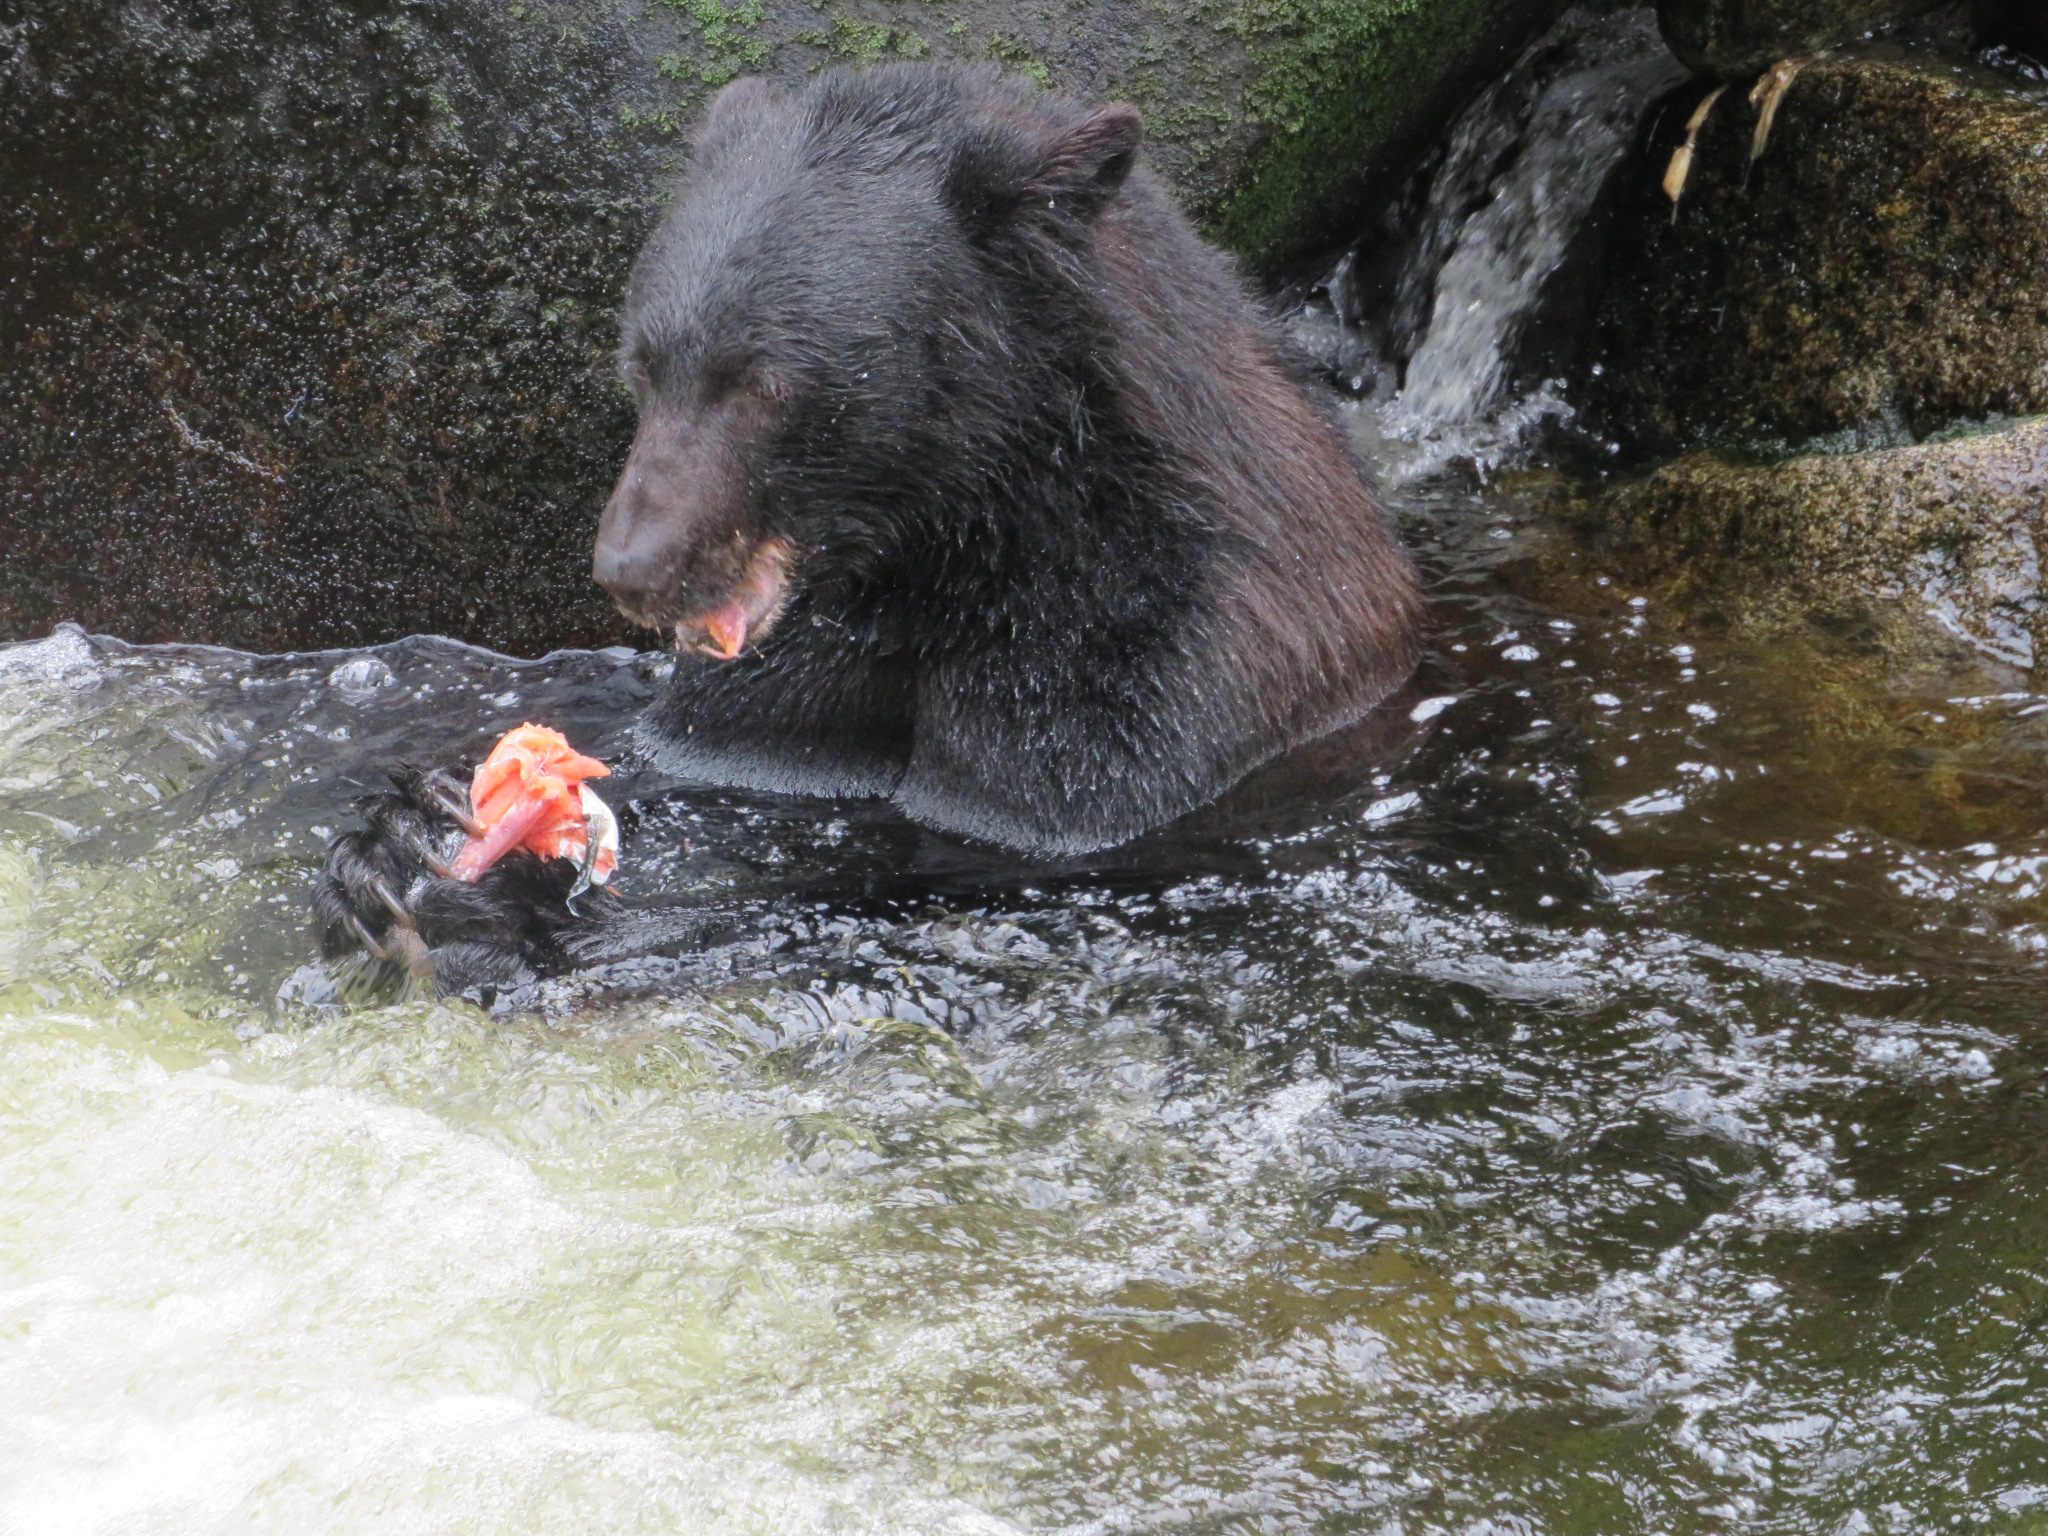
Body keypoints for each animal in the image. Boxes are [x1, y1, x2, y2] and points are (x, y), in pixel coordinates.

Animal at [316, 63, 1423, 990]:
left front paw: (497, 897)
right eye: (643, 362)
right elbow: (711, 751)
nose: (633, 563)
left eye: (762, 383)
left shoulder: (1150, 679)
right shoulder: (788, 685)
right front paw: (405, 834)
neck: (959, 550)